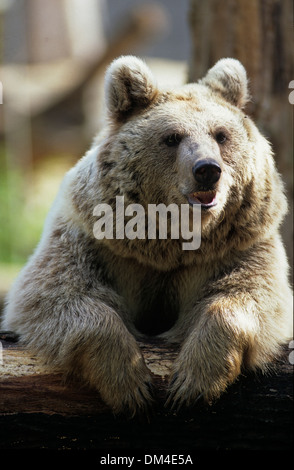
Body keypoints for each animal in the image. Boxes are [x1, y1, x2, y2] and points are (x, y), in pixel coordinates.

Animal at [1, 56, 292, 414]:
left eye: (221, 135)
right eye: (172, 137)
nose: (207, 170)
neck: (168, 240)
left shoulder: (237, 245)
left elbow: (252, 295)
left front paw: (192, 382)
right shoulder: (96, 241)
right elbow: (56, 295)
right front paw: (130, 384)